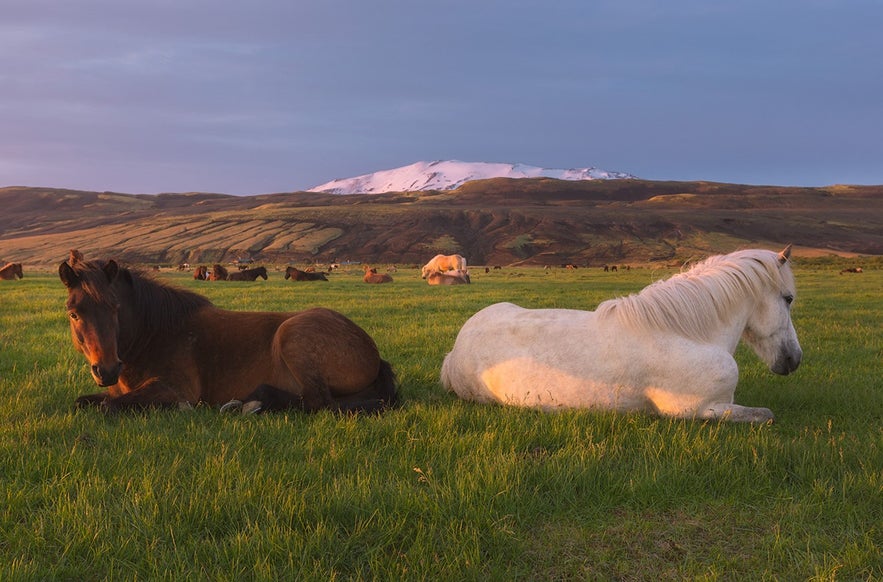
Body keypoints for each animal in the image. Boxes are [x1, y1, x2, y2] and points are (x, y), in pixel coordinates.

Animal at [58, 251, 398, 416]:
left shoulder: (175, 389)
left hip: (293, 336)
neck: (154, 335)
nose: (107, 370)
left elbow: (110, 407)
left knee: (318, 403)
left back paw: (254, 403)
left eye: (115, 308)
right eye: (74, 313)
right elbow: (86, 401)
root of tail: (372, 351)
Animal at [438, 246, 804, 424]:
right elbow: (766, 416)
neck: (687, 333)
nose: (794, 359)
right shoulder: (702, 410)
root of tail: (456, 348)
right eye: (788, 298)